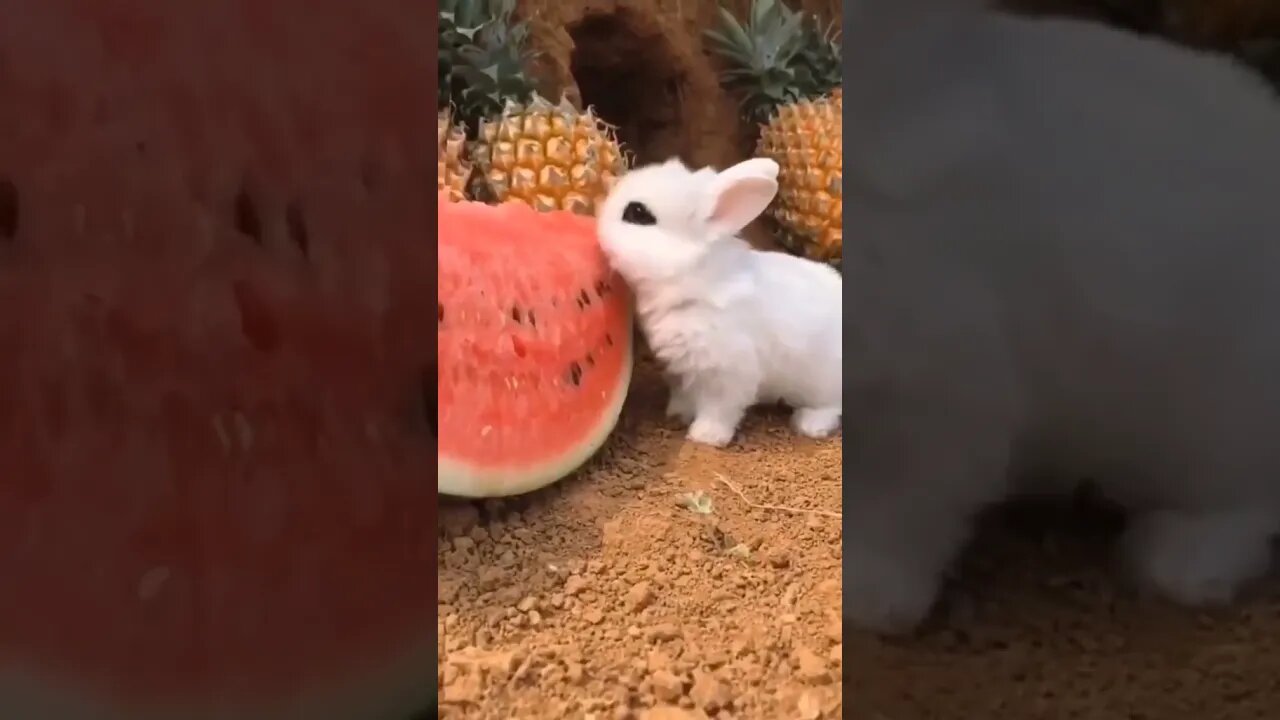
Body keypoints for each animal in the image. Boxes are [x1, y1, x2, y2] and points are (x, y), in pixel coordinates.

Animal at [596, 157, 839, 445]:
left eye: (638, 213)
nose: (596, 225)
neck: (691, 277)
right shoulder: (681, 371)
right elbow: (684, 395)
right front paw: (677, 414)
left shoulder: (727, 373)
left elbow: (720, 409)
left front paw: (705, 436)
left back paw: (809, 424)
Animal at [839, 0, 1280, 630]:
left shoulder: (936, 395)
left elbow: (896, 503)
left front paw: (871, 598)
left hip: (1212, 425)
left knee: (1251, 500)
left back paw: (1179, 562)